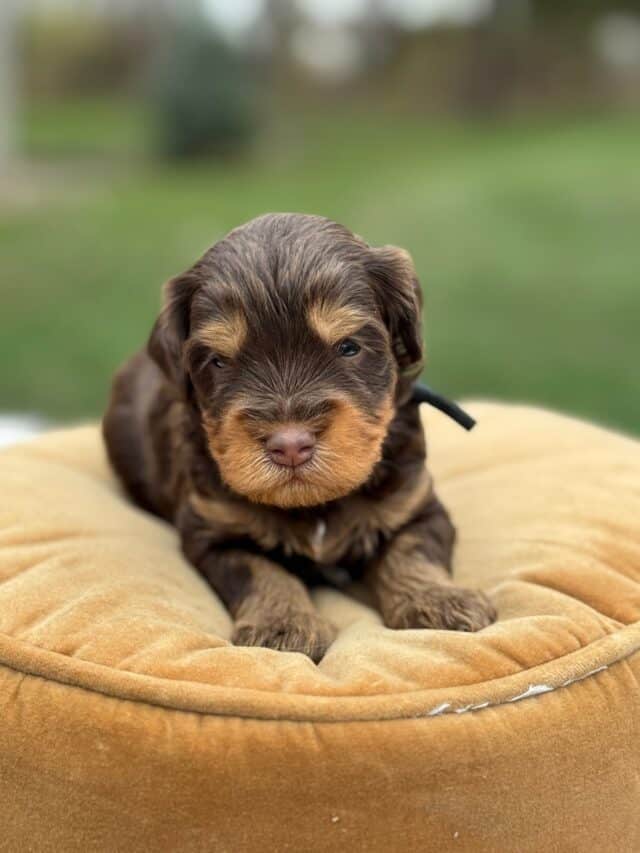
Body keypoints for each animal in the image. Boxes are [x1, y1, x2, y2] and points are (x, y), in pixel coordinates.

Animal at [104, 213, 496, 660]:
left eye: (348, 347)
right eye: (219, 362)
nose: (290, 446)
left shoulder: (414, 503)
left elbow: (412, 549)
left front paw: (438, 601)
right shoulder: (212, 531)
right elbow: (260, 569)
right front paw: (284, 625)